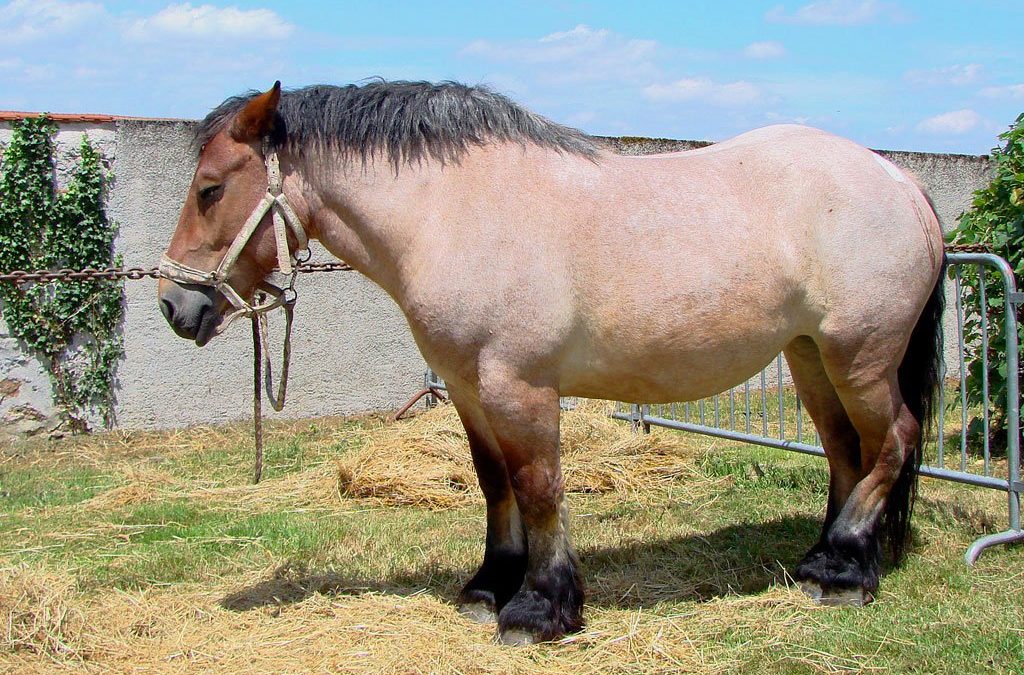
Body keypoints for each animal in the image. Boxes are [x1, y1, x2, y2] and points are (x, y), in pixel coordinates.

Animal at [155, 79, 946, 643]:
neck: (457, 213)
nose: (173, 305)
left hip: (860, 357)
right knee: (847, 451)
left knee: (893, 442)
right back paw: (826, 560)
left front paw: (539, 608)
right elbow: (494, 483)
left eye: (211, 189)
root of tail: (899, 182)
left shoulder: (519, 386)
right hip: (811, 357)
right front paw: (488, 585)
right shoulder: (469, 388)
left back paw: (844, 572)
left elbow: (538, 487)